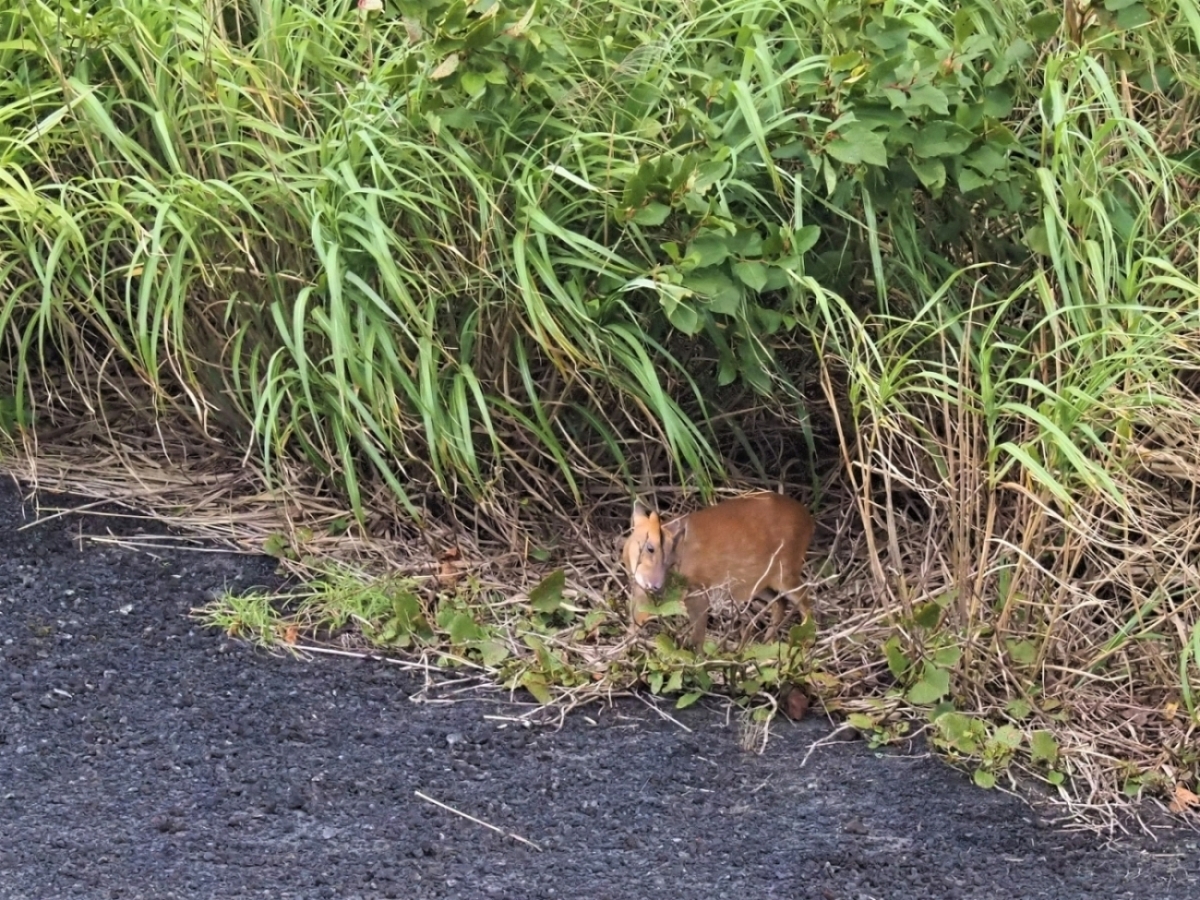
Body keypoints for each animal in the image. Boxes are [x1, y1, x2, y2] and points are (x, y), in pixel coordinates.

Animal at [624, 494, 811, 648]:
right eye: (649, 548)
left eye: (671, 554)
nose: (656, 586)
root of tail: (808, 517)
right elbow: (633, 627)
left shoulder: (699, 590)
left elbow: (698, 637)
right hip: (757, 582)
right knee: (780, 602)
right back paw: (765, 645)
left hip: (787, 570)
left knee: (805, 600)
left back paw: (804, 646)